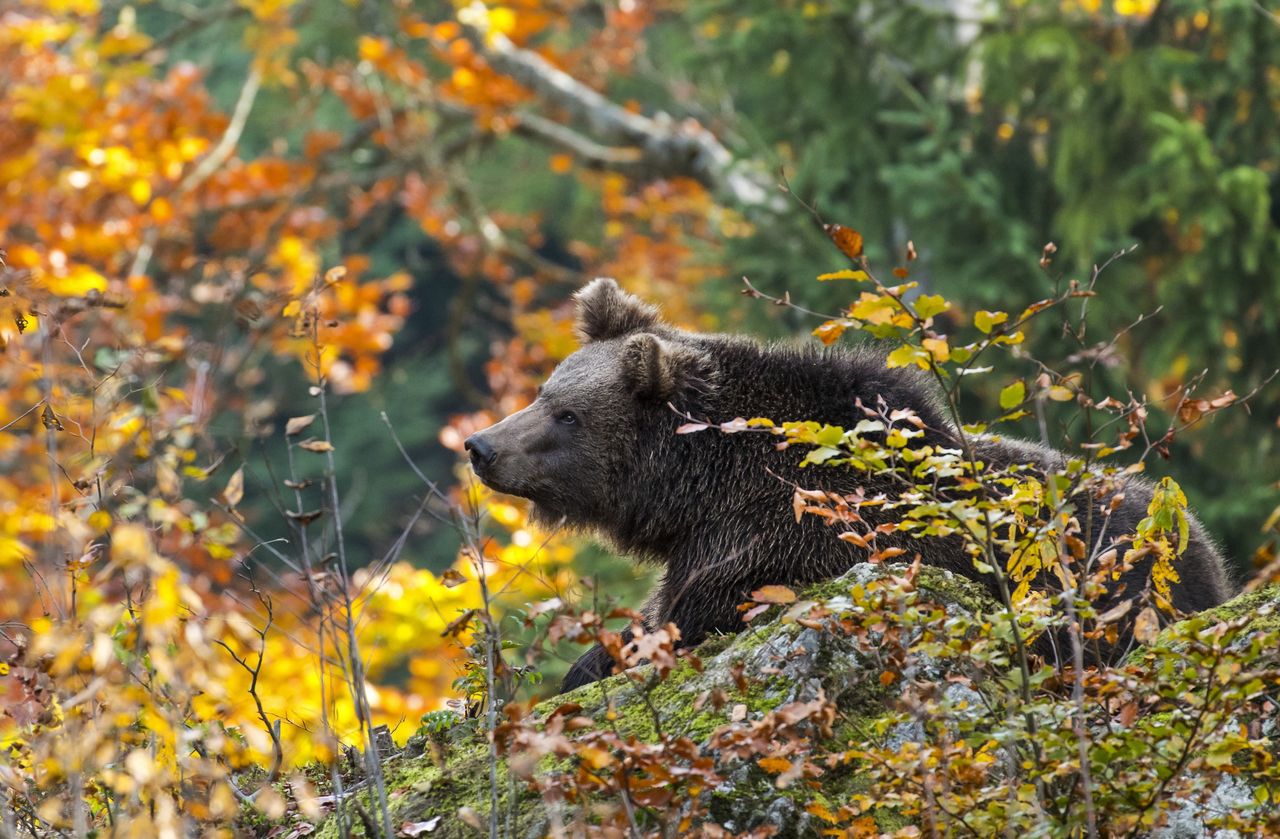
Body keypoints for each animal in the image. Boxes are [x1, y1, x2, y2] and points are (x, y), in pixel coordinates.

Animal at [465, 279, 1233, 691]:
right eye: (545, 390)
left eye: (567, 414)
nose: (480, 446)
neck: (699, 488)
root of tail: (1204, 544)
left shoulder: (781, 541)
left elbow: (687, 617)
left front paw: (588, 666)